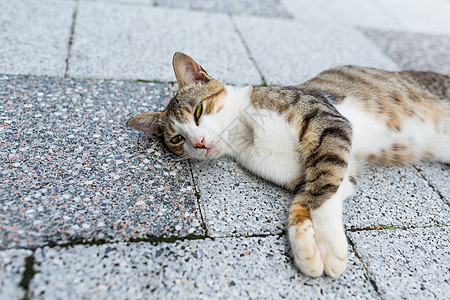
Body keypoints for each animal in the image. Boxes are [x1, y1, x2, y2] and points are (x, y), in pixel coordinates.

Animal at [126, 52, 450, 278]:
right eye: (177, 139)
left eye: (198, 111)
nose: (200, 142)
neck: (244, 134)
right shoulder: (325, 174)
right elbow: (312, 195)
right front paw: (309, 247)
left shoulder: (327, 121)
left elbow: (322, 188)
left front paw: (326, 244)